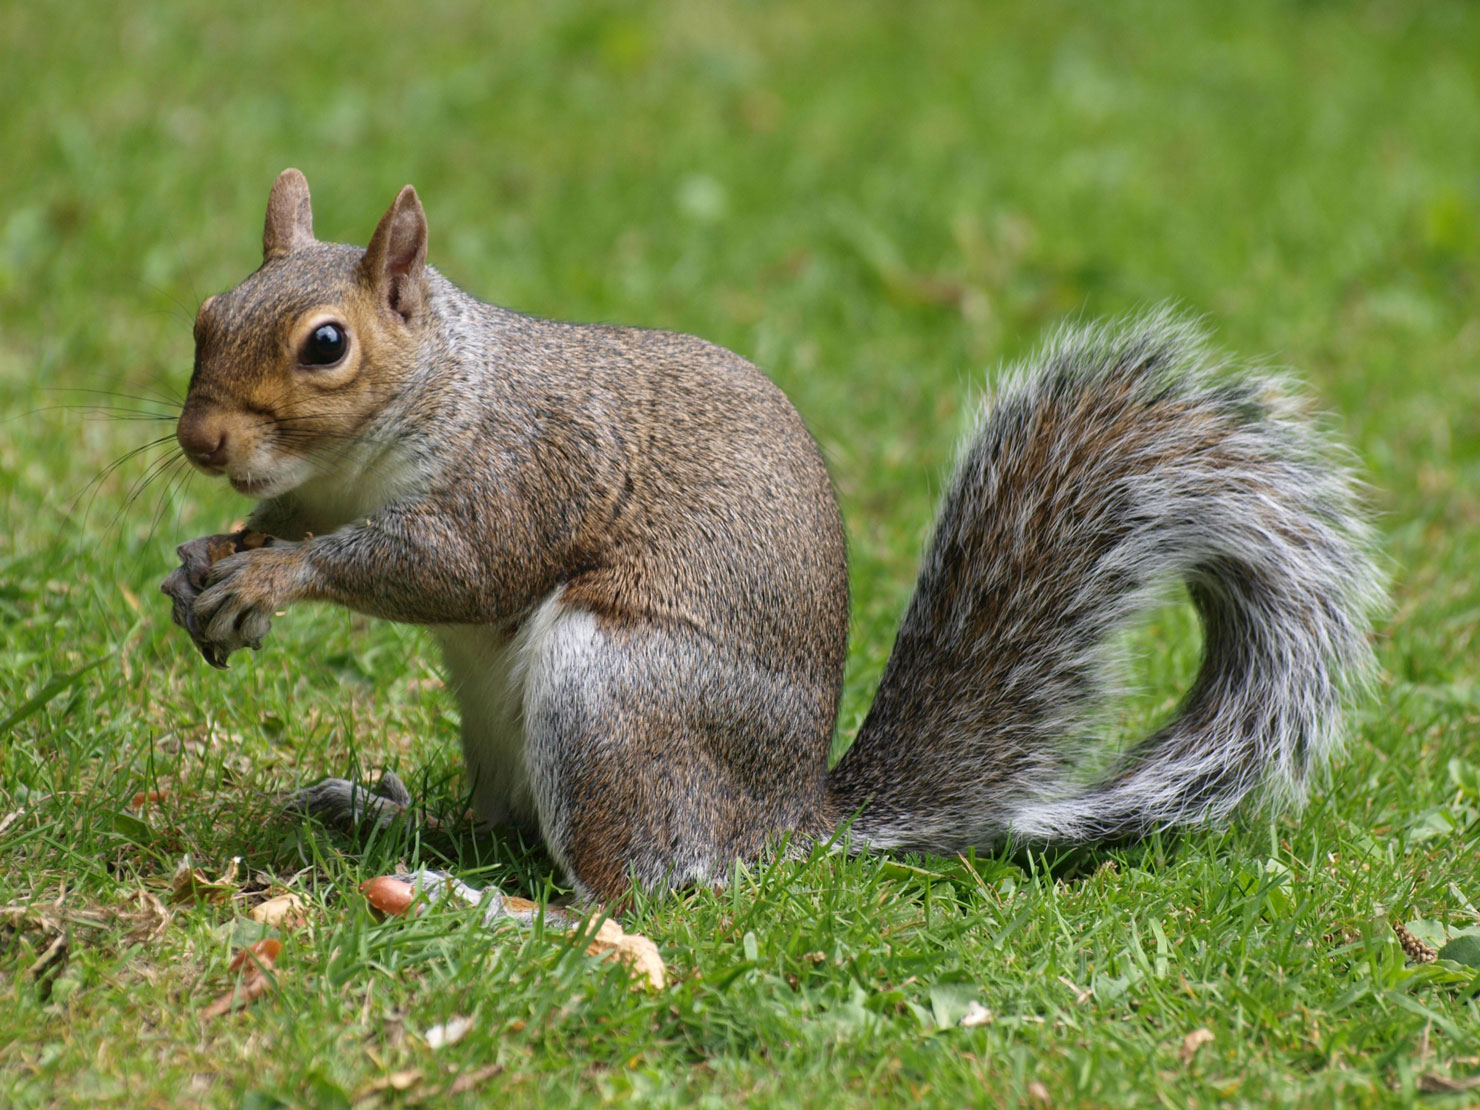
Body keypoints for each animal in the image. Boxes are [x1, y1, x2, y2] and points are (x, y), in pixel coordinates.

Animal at [162, 169, 1382, 903]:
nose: (199, 438)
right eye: (206, 314)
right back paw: (381, 819)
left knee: (626, 898)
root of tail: (787, 822)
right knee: (506, 826)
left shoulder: (526, 471)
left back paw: (477, 904)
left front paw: (274, 576)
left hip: (613, 696)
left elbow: (449, 567)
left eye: (326, 345)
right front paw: (207, 561)